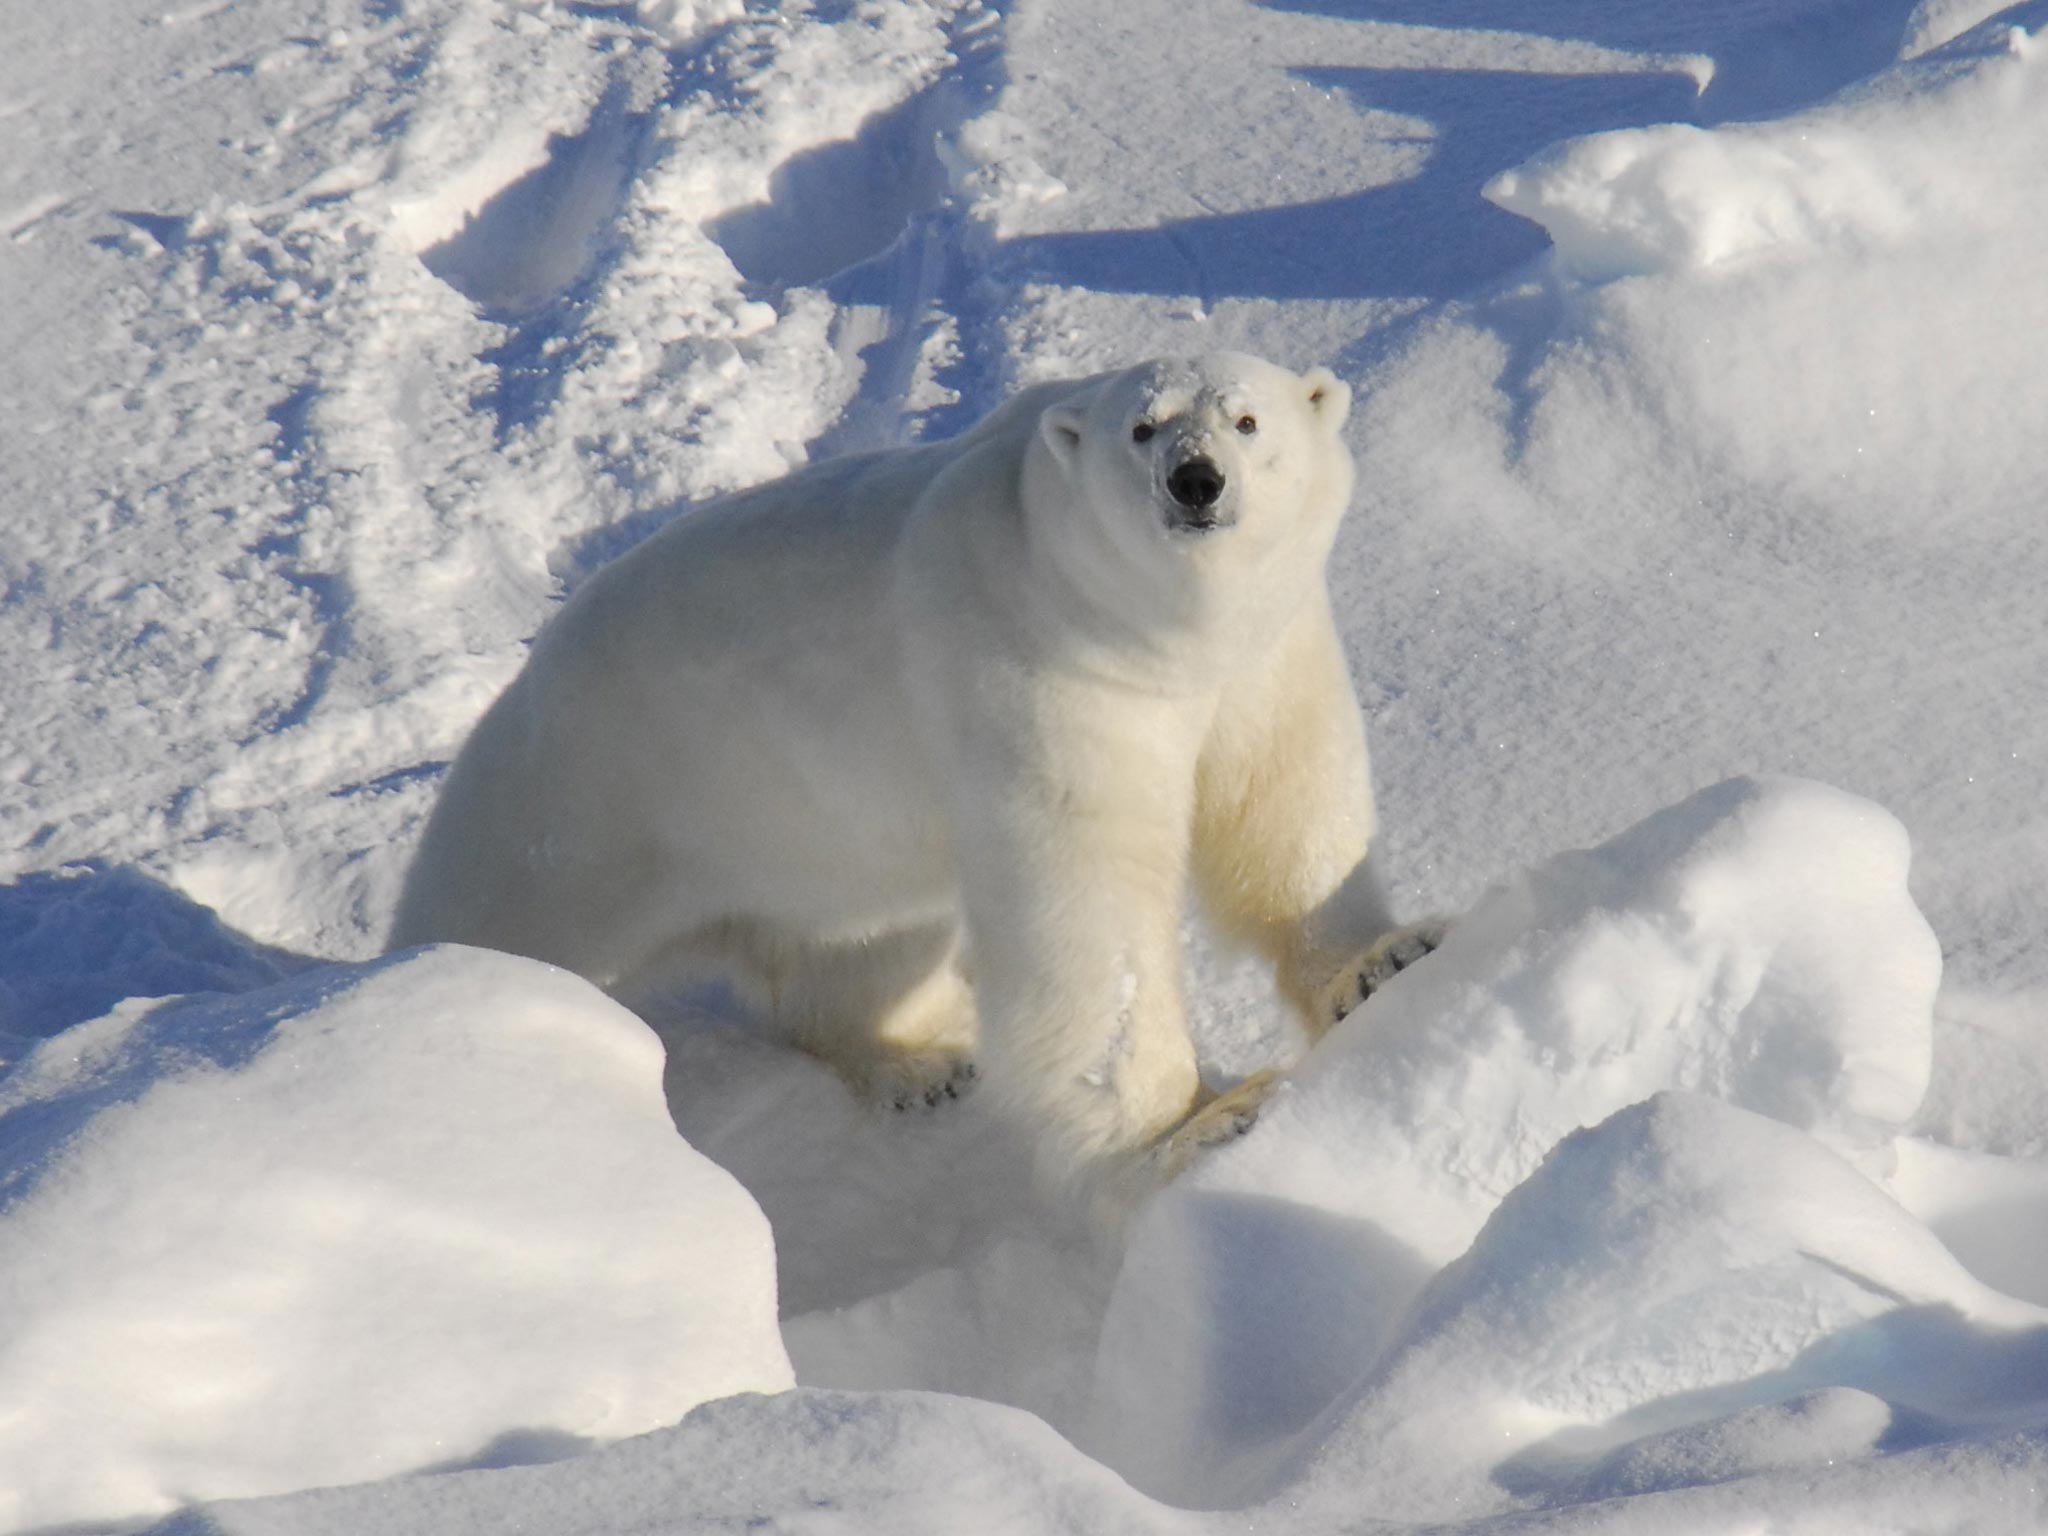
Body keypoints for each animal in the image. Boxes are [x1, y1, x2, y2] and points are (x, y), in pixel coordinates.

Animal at [387, 354, 1441, 1220]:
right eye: (1142, 428)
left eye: (1248, 419)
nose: (1195, 481)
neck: (1147, 634)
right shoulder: (1040, 675)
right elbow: (1090, 914)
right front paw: (1202, 1124)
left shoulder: (1264, 653)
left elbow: (1285, 803)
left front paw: (1383, 961)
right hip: (576, 818)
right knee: (506, 924)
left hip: (814, 841)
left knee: (860, 944)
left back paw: (922, 1062)